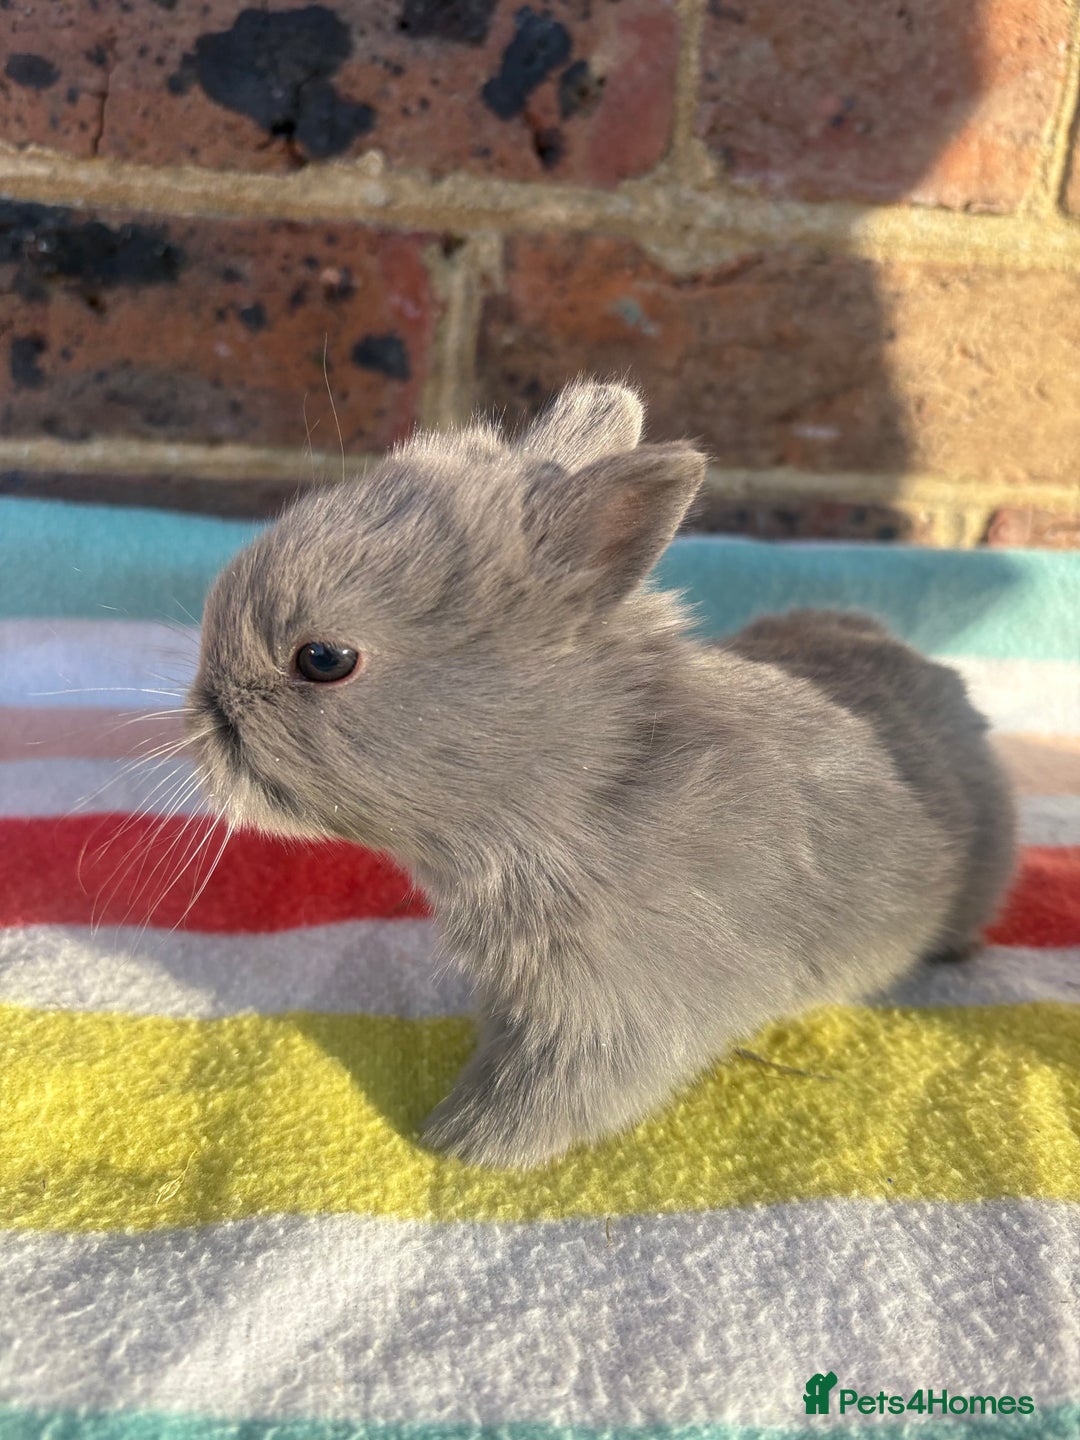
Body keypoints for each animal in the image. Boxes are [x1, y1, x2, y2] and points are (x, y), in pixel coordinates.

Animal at [186, 379, 1017, 1170]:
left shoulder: (611, 1015)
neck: (582, 790)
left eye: (324, 659)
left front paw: (460, 1143)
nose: (202, 713)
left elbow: (549, 1092)